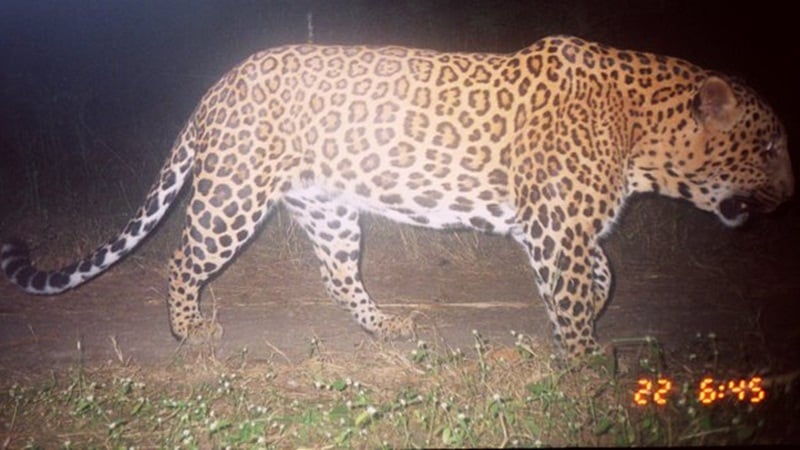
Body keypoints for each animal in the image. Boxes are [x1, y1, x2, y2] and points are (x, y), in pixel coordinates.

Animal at [2, 35, 793, 359]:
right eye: (767, 148)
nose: (789, 194)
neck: (642, 136)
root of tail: (218, 88)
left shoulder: (565, 228)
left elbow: (602, 275)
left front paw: (595, 323)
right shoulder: (555, 227)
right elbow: (575, 294)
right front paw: (585, 363)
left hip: (328, 210)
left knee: (337, 274)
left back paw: (385, 328)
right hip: (233, 198)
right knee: (182, 261)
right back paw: (187, 331)